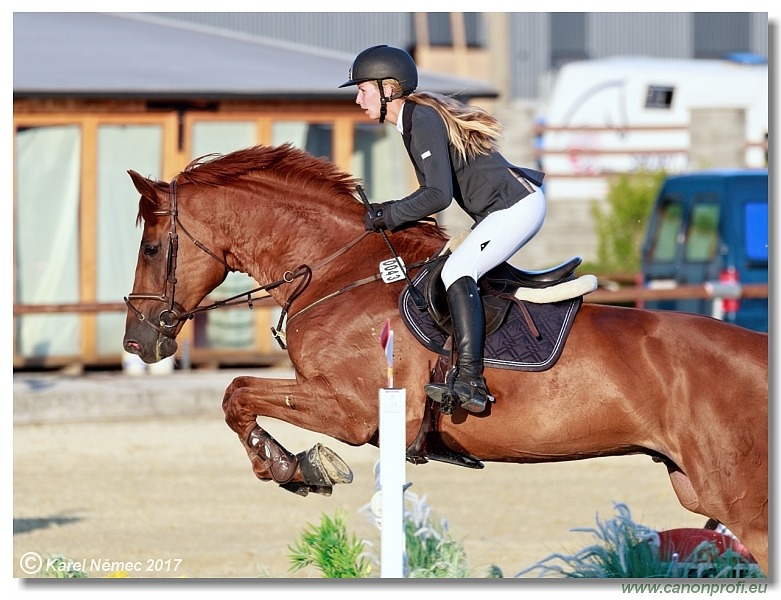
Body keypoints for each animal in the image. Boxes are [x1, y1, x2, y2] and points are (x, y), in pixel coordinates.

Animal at [123, 143, 768, 576]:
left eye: (151, 248)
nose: (138, 343)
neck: (336, 270)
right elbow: (237, 396)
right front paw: (297, 466)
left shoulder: (353, 410)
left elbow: (236, 394)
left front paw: (290, 466)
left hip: (741, 499)